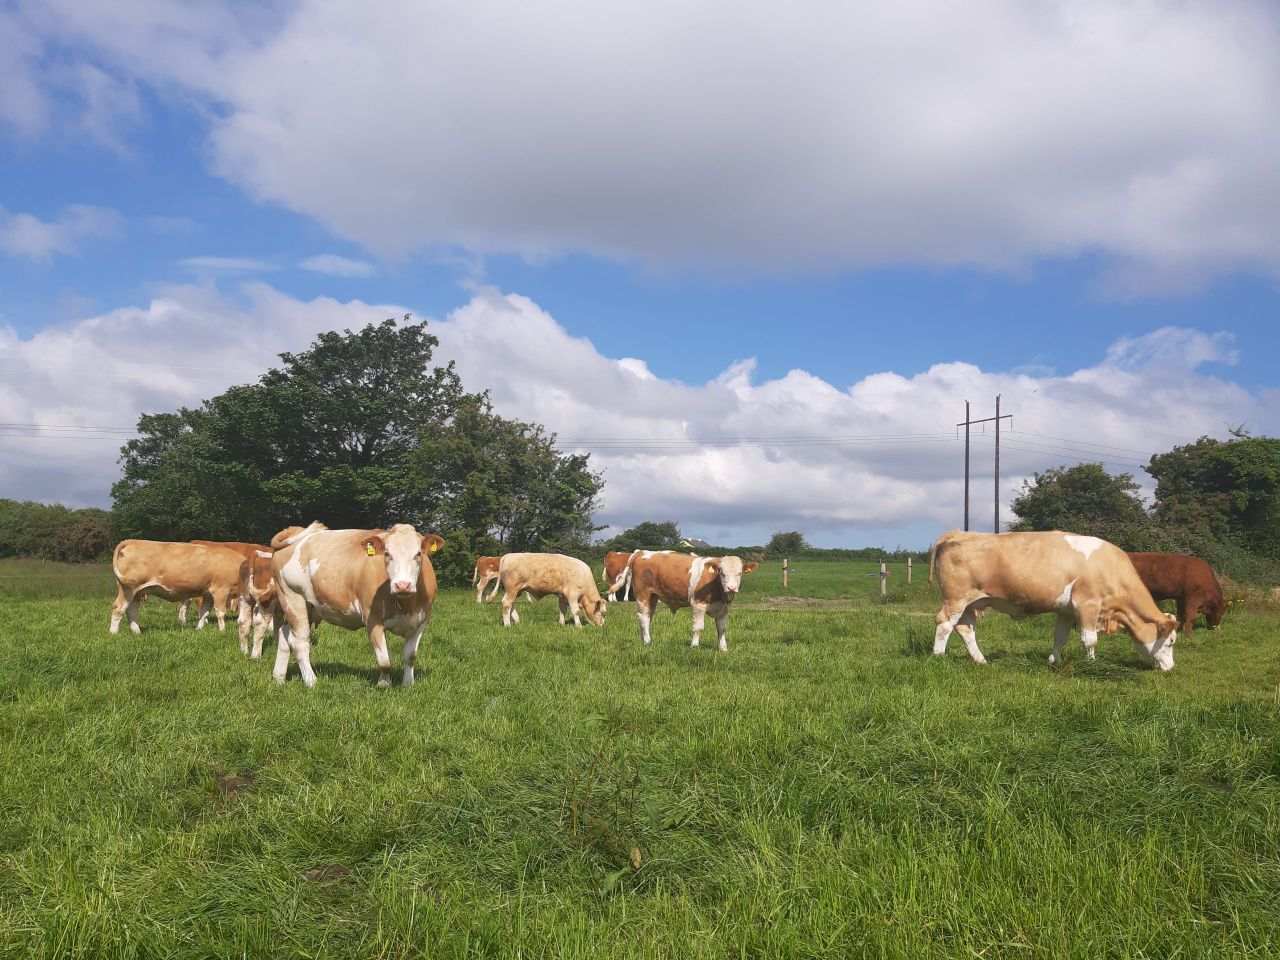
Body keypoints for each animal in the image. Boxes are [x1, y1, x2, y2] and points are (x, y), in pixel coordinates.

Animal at [110, 540, 247, 635]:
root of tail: (131, 541)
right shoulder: (220, 590)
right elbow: (220, 612)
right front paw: (222, 630)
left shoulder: (208, 594)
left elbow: (204, 613)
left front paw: (198, 629)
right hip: (127, 589)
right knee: (119, 608)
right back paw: (113, 632)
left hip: (137, 592)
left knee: (131, 609)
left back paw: (136, 631)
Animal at [269, 522, 443, 688]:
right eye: (387, 554)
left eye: (418, 554)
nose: (402, 585)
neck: (405, 603)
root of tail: (295, 530)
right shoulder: (372, 620)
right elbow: (385, 660)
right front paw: (383, 684)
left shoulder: (422, 620)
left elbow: (410, 656)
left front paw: (408, 684)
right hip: (292, 598)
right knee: (300, 642)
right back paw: (311, 681)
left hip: (309, 606)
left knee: (285, 636)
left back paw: (278, 678)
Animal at [612, 551, 757, 650]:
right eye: (721, 572)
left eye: (740, 573)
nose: (731, 588)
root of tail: (643, 552)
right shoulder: (698, 604)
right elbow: (698, 627)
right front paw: (694, 646)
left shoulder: (723, 608)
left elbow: (722, 629)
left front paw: (723, 648)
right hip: (643, 594)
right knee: (643, 617)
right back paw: (647, 641)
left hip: (652, 597)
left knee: (648, 617)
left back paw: (644, 638)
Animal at [929, 530, 1179, 670]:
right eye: (1170, 641)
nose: (1170, 667)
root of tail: (958, 533)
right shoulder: (1087, 604)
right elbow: (1090, 639)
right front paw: (1092, 664)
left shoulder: (1066, 611)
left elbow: (1060, 637)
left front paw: (1052, 661)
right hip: (956, 599)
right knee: (944, 624)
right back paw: (938, 657)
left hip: (972, 604)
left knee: (965, 629)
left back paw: (981, 661)